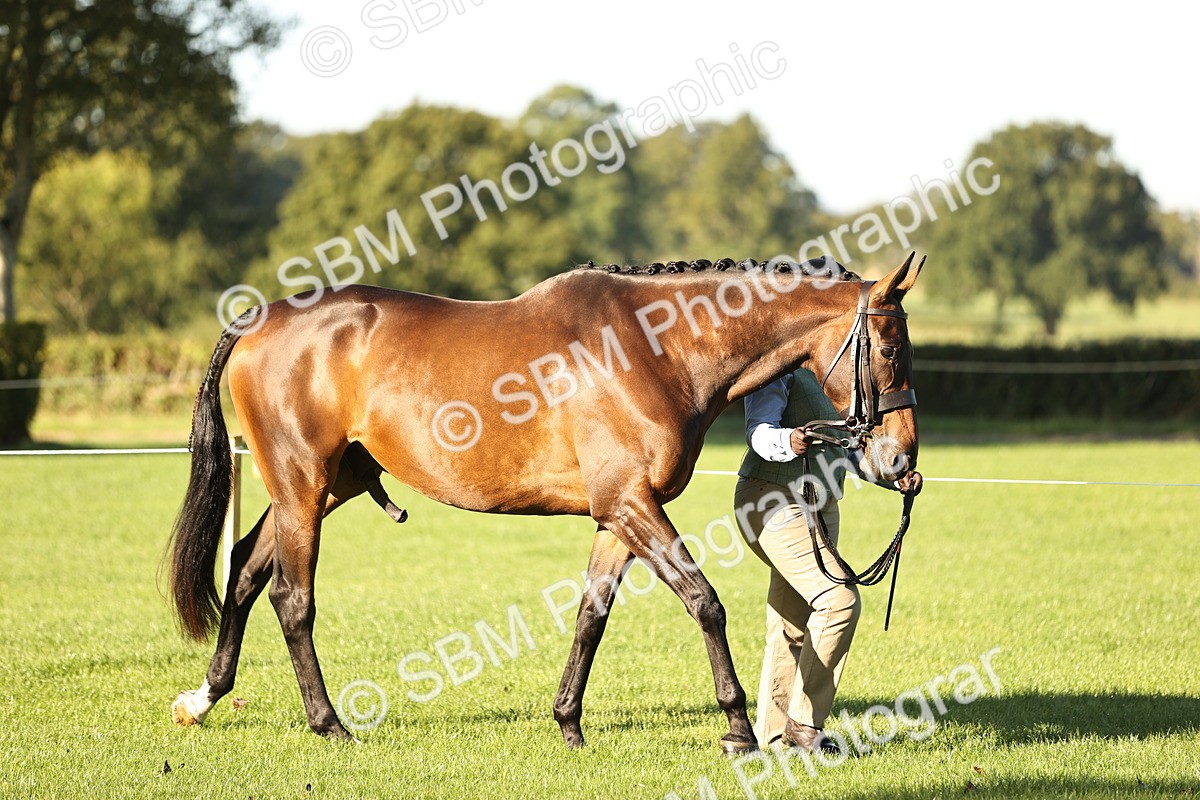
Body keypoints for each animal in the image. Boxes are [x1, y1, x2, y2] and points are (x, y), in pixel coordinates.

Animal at [166, 253, 923, 754]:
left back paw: (203, 699)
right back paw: (328, 723)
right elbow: (705, 602)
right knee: (291, 597)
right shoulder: (633, 506)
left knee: (244, 568)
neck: (657, 347)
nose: (901, 461)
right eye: (890, 348)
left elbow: (591, 617)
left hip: (326, 486)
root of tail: (258, 320)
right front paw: (737, 729)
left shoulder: (618, 516)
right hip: (302, 485)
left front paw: (568, 721)